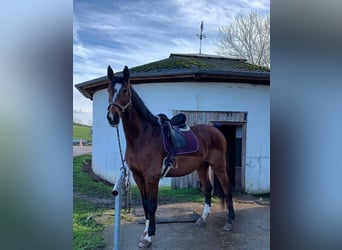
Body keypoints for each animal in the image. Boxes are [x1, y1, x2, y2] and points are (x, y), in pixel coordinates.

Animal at [107, 65, 235, 248]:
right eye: (109, 90)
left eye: (125, 90)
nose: (112, 117)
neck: (142, 137)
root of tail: (217, 131)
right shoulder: (138, 176)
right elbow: (145, 204)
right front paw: (145, 234)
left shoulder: (152, 177)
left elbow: (152, 205)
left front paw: (149, 237)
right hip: (202, 167)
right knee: (207, 188)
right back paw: (203, 219)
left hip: (219, 166)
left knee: (227, 189)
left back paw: (229, 222)